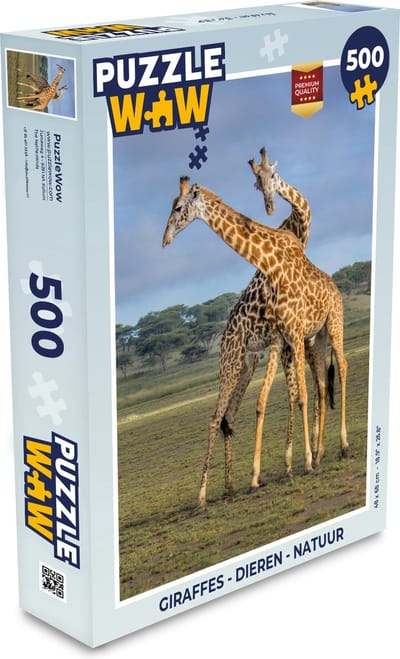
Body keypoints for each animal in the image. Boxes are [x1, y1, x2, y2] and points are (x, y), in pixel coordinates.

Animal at [162, 176, 348, 507]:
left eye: (179, 207)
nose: (166, 238)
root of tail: (223, 339)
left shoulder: (291, 339)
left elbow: (298, 393)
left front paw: (300, 460)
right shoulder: (285, 340)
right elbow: (285, 396)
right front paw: (295, 461)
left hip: (259, 358)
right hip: (237, 363)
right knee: (219, 416)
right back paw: (210, 492)